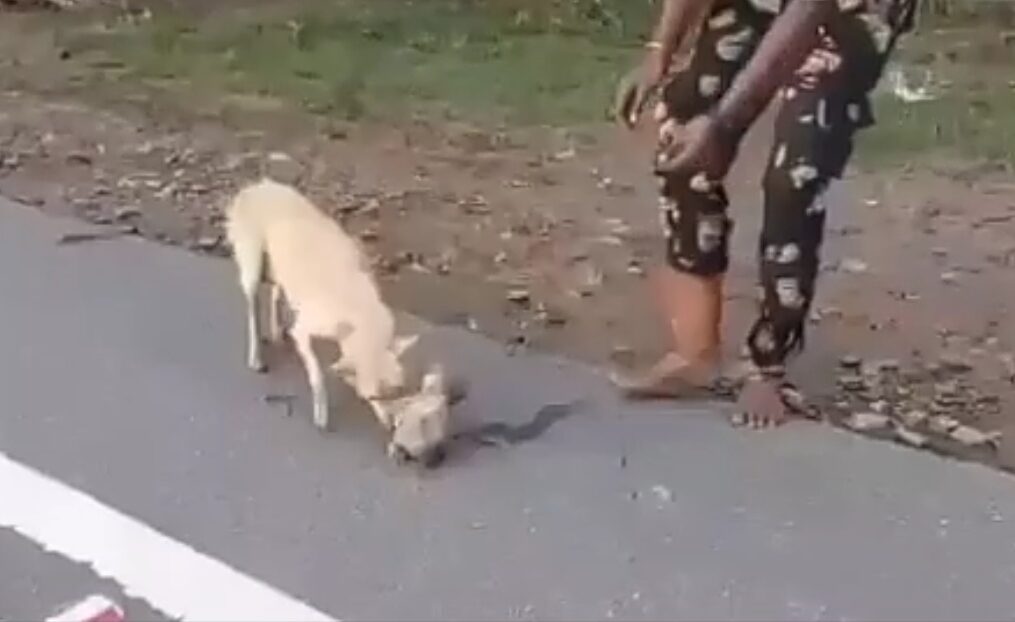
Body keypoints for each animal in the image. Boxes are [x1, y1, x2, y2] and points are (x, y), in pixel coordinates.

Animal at [226, 178, 452, 460]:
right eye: (374, 397)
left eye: (399, 389)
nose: (393, 427)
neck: (360, 319)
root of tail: (257, 185)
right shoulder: (305, 331)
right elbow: (317, 375)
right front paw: (321, 415)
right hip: (252, 261)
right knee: (252, 304)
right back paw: (257, 356)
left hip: (278, 266)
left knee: (277, 292)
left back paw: (277, 332)